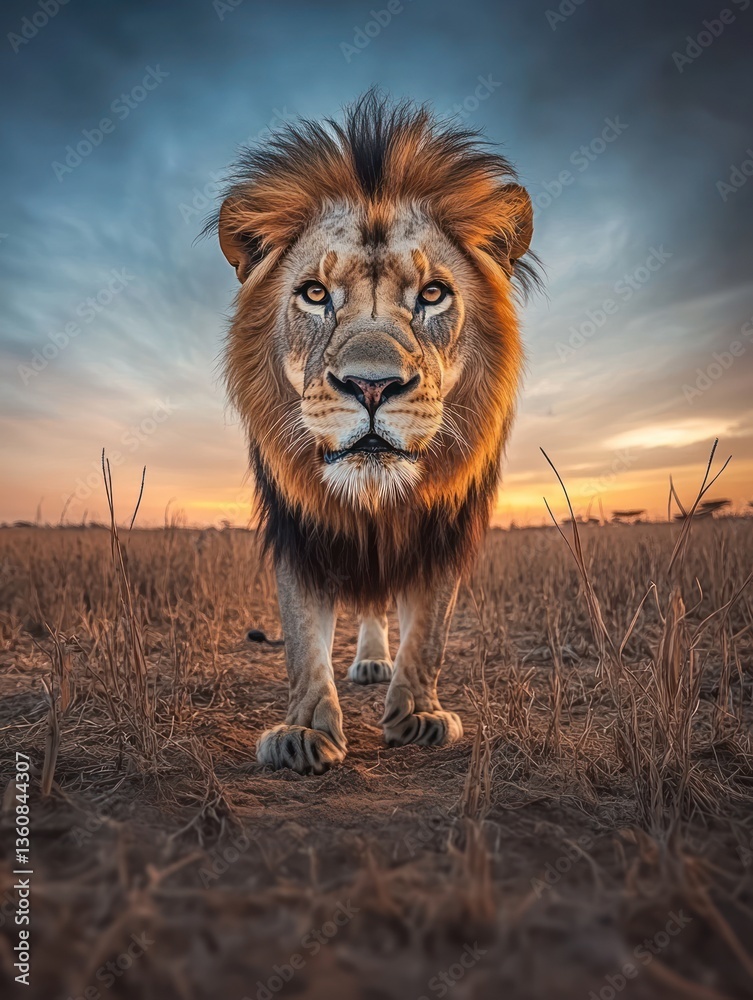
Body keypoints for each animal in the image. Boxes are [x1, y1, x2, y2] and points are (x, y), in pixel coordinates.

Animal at [212, 92, 536, 774]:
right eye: (314, 294)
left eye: (434, 294)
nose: (370, 385)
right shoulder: (301, 529)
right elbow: (302, 640)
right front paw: (303, 732)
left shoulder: (442, 531)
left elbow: (429, 632)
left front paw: (418, 716)